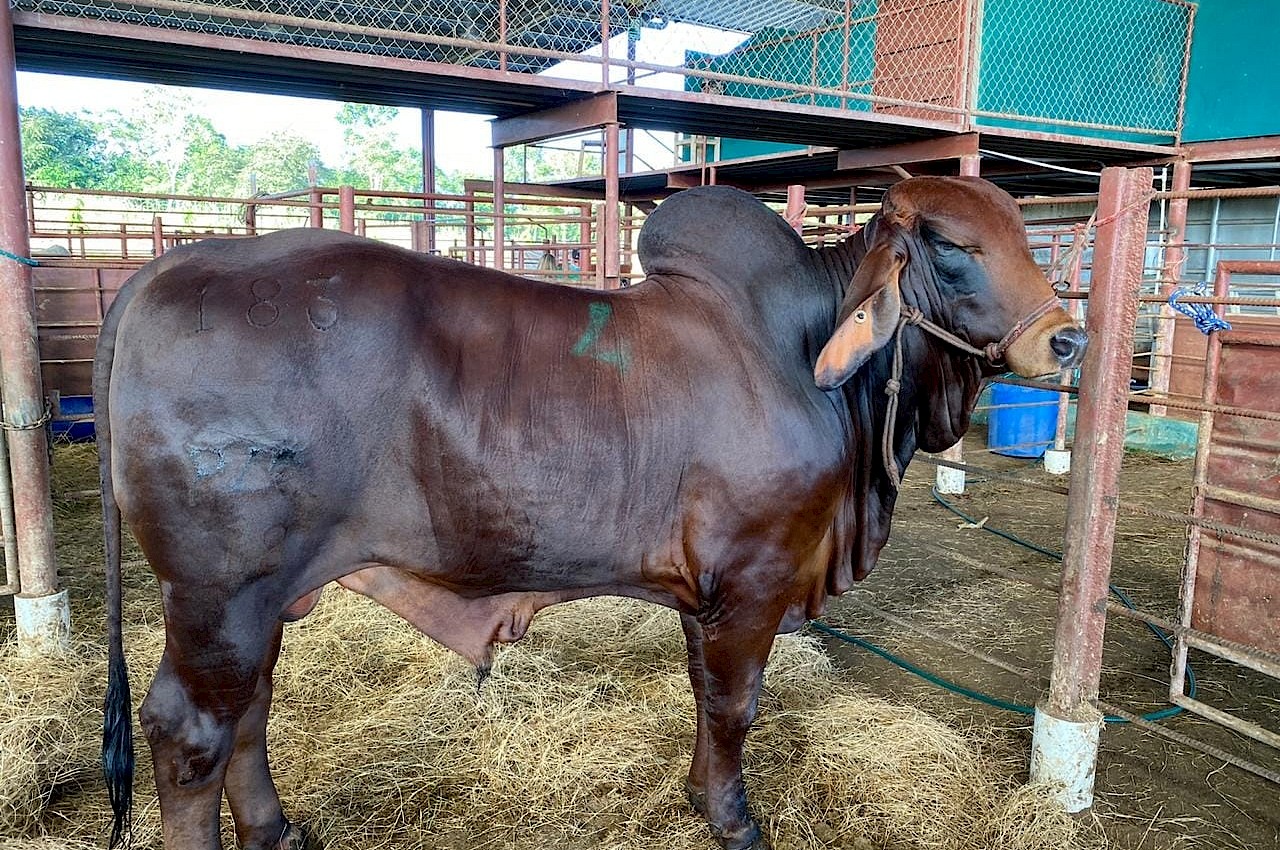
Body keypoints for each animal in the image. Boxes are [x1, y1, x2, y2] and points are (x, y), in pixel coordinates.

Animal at [94, 177, 1085, 850]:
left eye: (1024, 233)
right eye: (951, 243)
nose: (1067, 338)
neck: (810, 358)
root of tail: (170, 267)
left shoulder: (707, 592)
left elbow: (706, 698)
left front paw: (699, 797)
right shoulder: (754, 579)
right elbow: (737, 704)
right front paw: (735, 819)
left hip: (261, 600)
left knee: (250, 710)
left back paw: (277, 830)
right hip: (221, 593)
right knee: (190, 732)